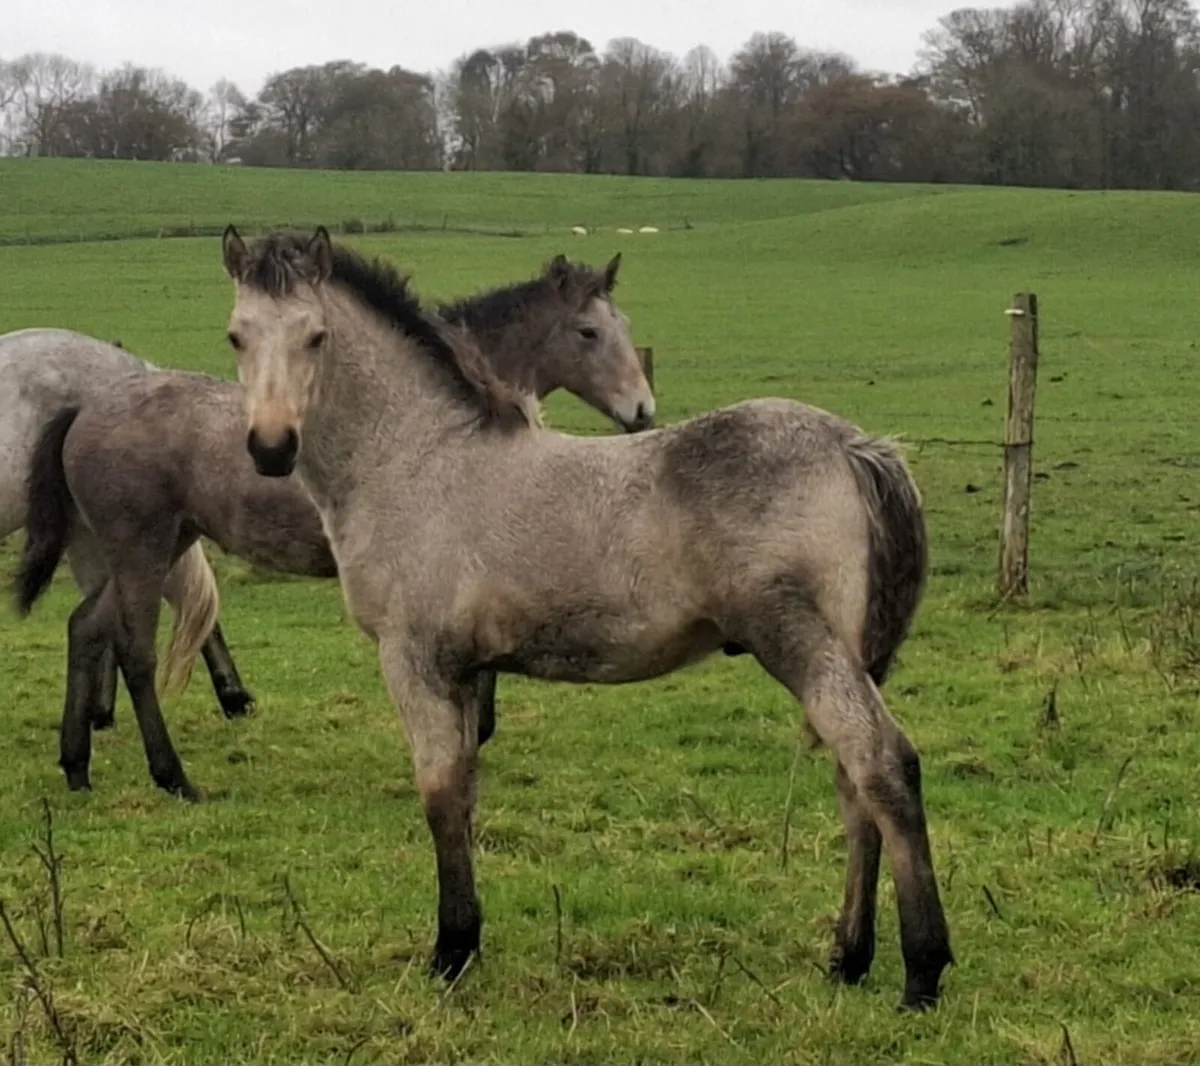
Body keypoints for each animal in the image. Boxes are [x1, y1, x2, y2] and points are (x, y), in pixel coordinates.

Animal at [14, 253, 654, 800]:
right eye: (588, 332)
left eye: (623, 325)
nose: (643, 411)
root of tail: (84, 407)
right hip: (141, 549)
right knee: (135, 649)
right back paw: (173, 777)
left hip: (156, 548)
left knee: (85, 626)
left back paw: (76, 766)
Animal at [211, 225, 953, 1011]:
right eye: (236, 335)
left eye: (316, 336)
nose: (269, 446)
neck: (418, 461)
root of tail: (855, 447)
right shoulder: (467, 671)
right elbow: (465, 794)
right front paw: (469, 941)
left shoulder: (415, 662)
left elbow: (439, 795)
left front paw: (450, 953)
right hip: (855, 657)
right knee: (853, 785)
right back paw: (848, 958)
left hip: (803, 645)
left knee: (881, 764)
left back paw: (922, 971)